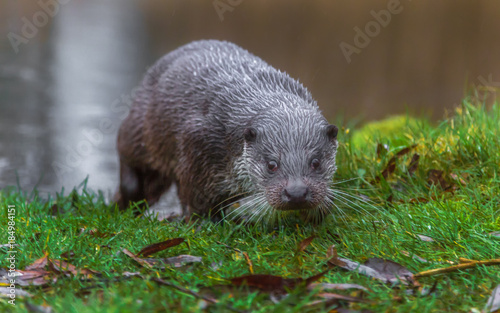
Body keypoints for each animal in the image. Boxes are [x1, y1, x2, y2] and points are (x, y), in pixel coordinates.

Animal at [115, 40, 338, 223]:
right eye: (272, 165)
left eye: (316, 162)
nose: (297, 193)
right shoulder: (196, 142)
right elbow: (194, 193)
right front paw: (202, 222)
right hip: (140, 131)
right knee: (126, 154)